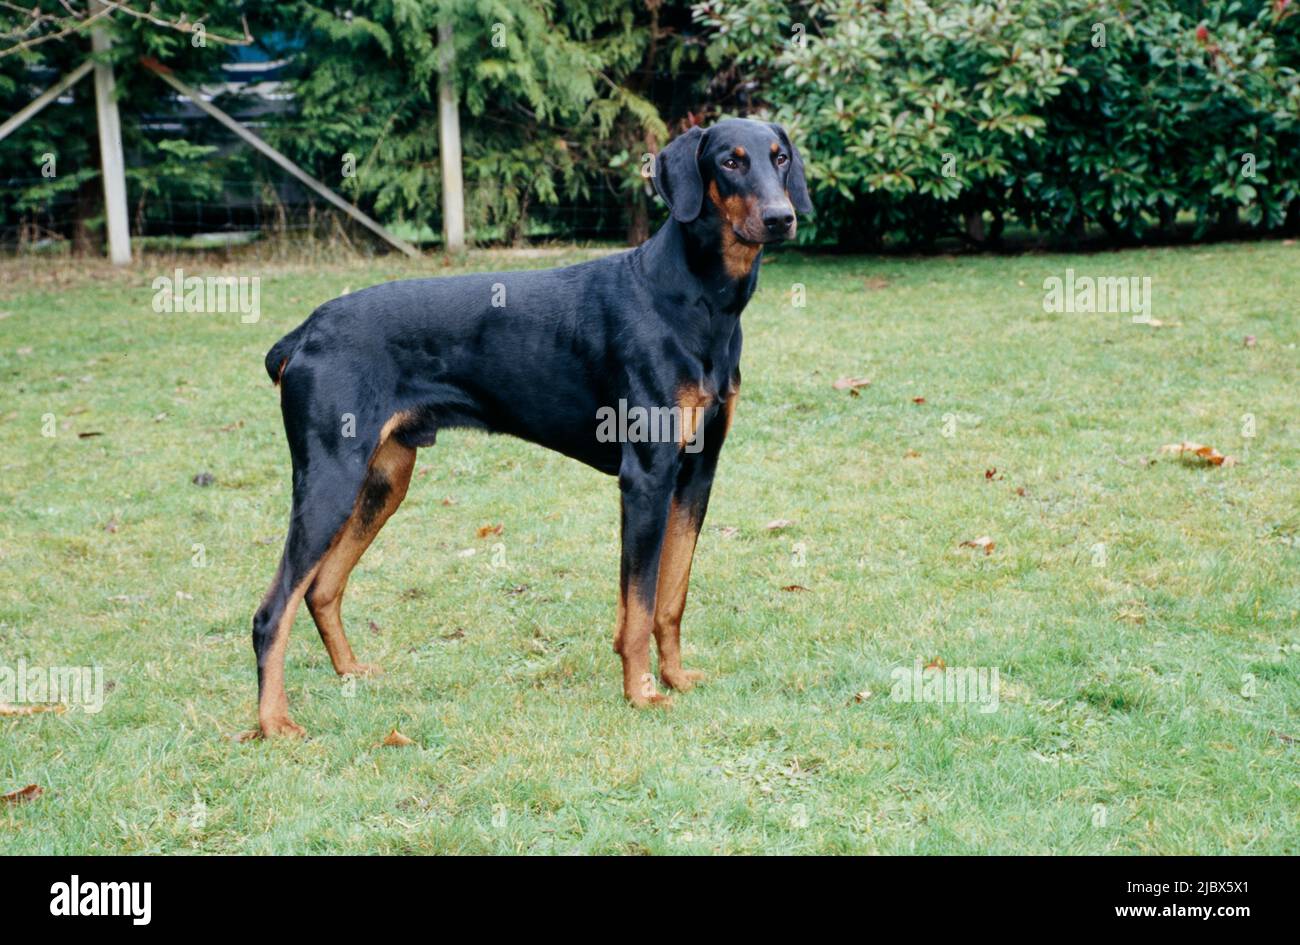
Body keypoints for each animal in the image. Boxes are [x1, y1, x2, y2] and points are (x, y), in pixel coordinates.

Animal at [248, 120, 806, 738]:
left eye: (780, 158)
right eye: (730, 162)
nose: (781, 217)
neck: (700, 302)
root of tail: (303, 334)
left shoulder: (697, 473)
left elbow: (670, 598)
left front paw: (677, 678)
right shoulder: (647, 476)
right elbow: (638, 605)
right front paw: (641, 692)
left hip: (384, 479)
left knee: (322, 588)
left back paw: (351, 674)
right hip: (331, 478)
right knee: (272, 610)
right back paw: (274, 722)